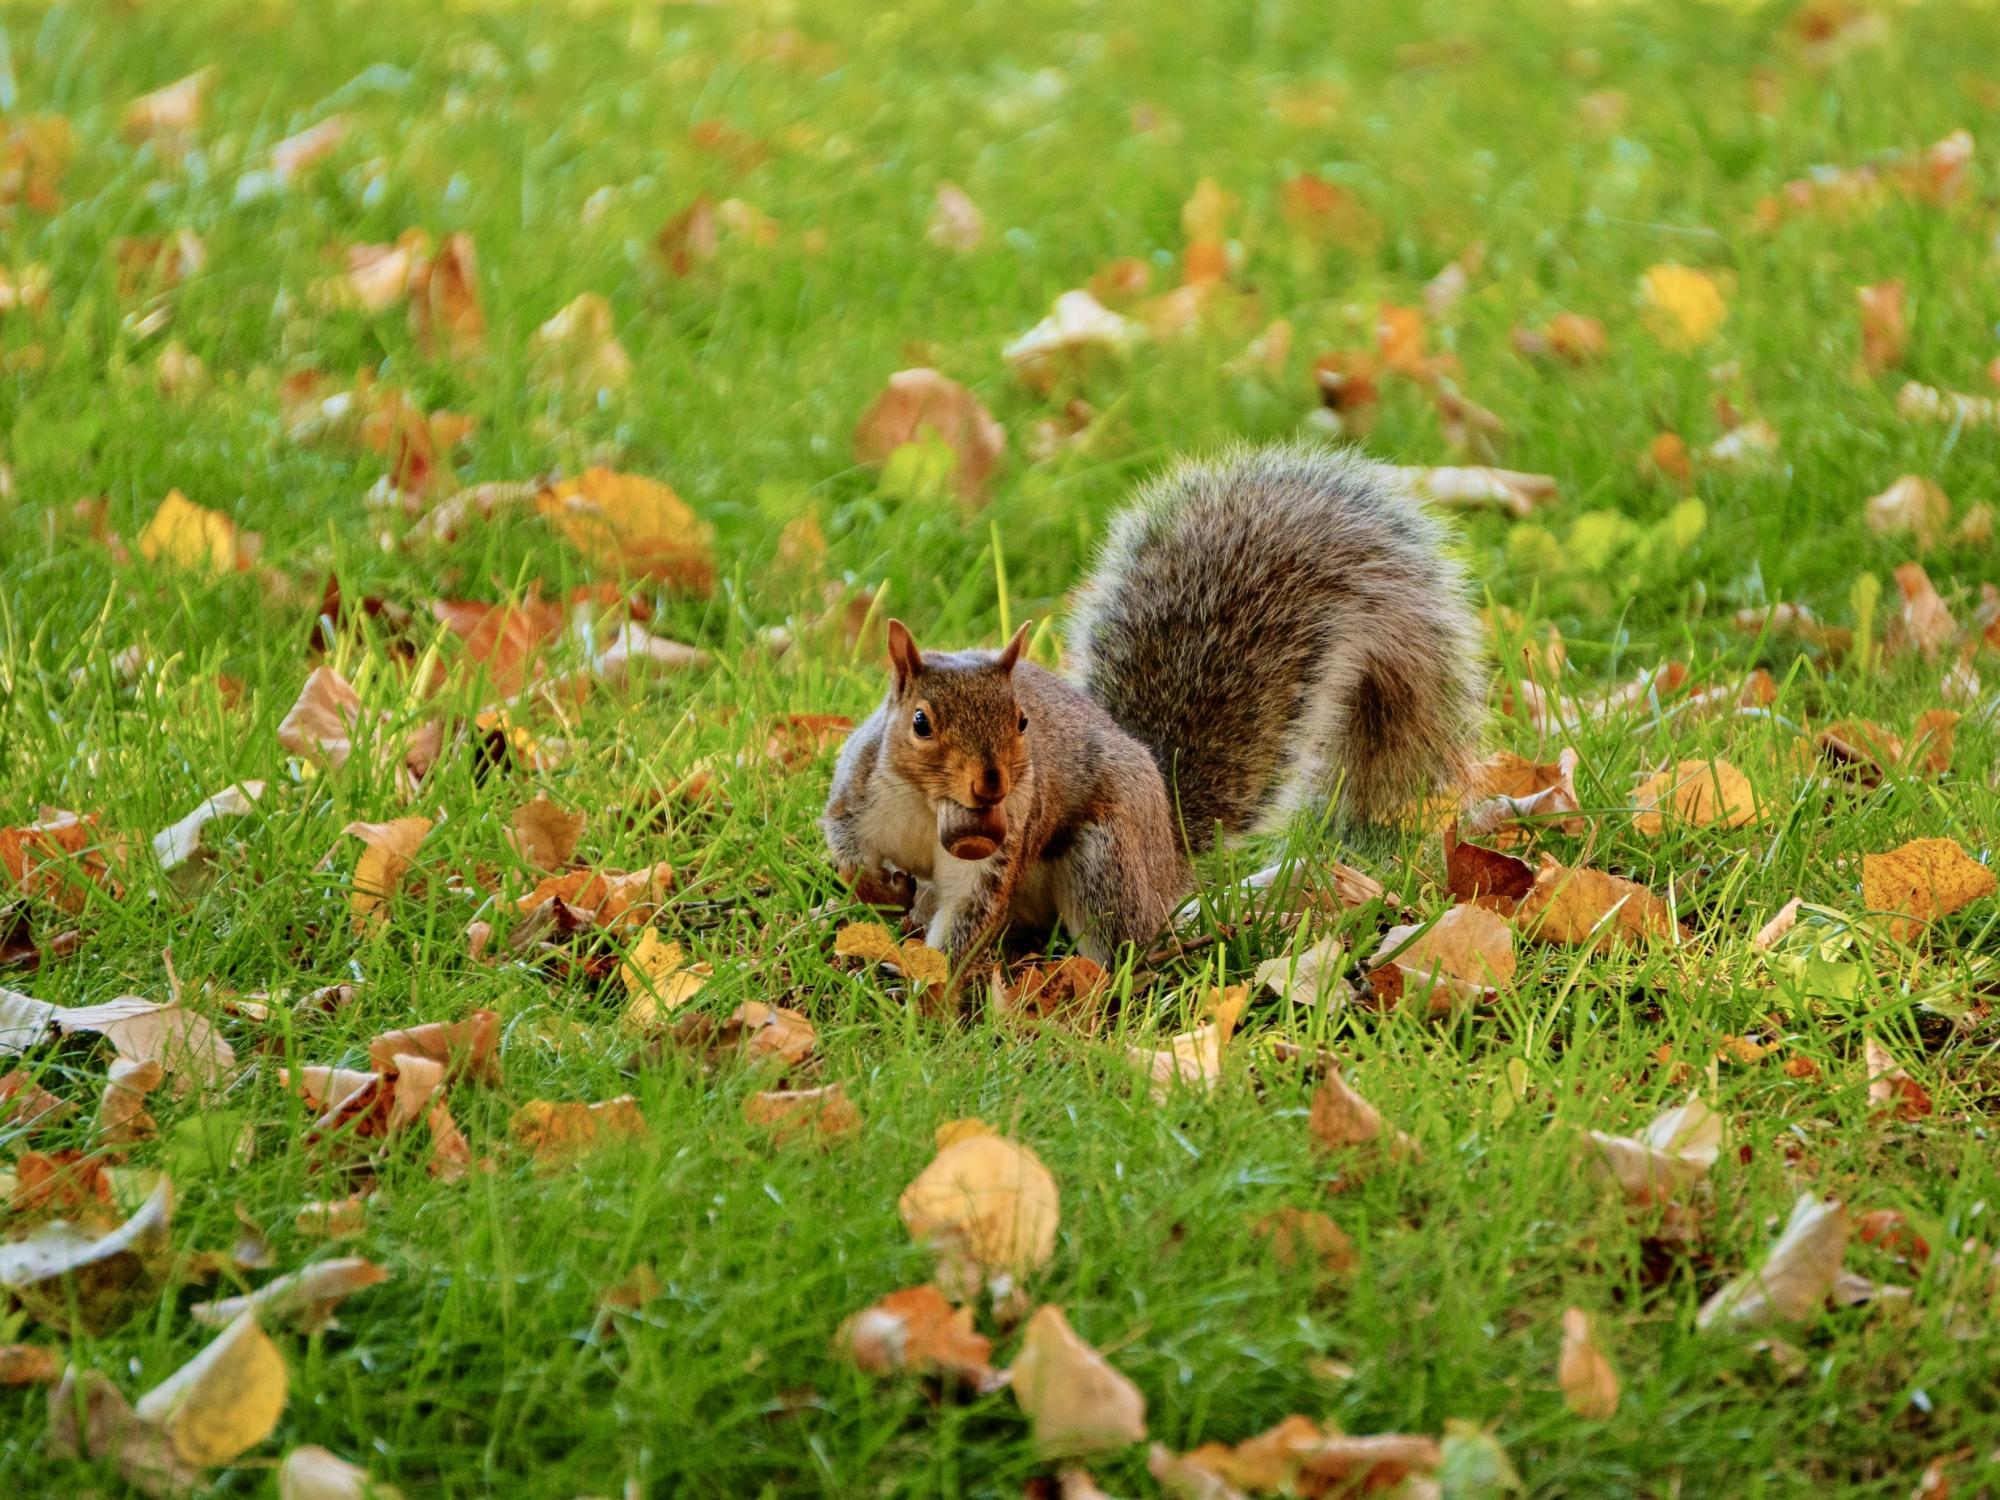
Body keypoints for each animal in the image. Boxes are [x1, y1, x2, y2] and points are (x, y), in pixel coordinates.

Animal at [821, 443, 1484, 969]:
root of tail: (1170, 858)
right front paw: (872, 889)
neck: (927, 809)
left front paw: (923, 983)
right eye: (920, 723)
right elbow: (845, 844)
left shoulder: (1000, 850)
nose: (991, 784)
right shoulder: (859, 789)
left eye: (1022, 722)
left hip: (1105, 859)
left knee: (1128, 942)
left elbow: (966, 919)